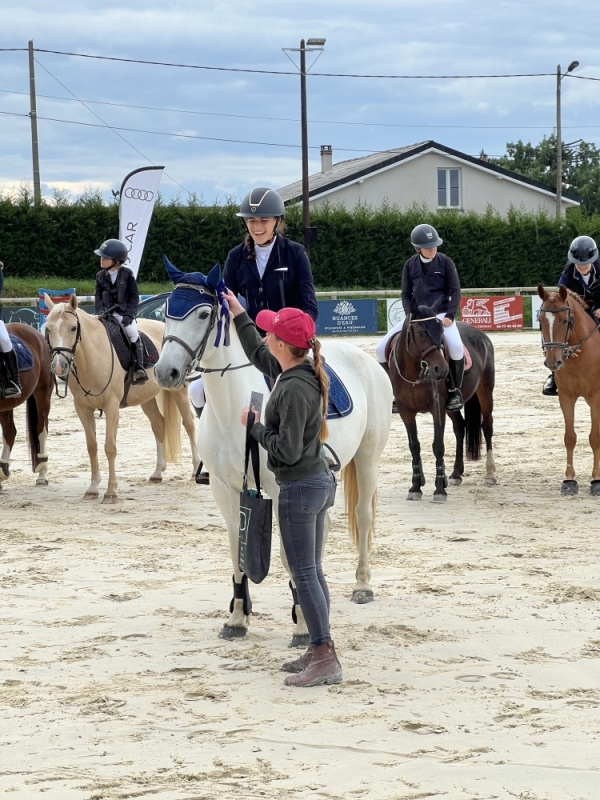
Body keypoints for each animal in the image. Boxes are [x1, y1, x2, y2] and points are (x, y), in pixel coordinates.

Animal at [45, 294, 199, 506]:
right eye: (48, 329)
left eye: (73, 328)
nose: (59, 366)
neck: (93, 355)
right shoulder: (82, 408)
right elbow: (92, 446)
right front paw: (93, 488)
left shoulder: (112, 407)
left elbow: (109, 447)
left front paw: (111, 492)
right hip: (146, 399)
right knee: (159, 424)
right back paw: (157, 472)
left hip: (179, 392)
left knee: (189, 424)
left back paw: (195, 470)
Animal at [154, 260, 394, 648]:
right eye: (165, 312)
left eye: (204, 313)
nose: (166, 372)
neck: (233, 405)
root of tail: (365, 358)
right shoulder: (224, 488)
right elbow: (236, 549)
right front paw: (237, 618)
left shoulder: (282, 489)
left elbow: (286, 553)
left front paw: (302, 625)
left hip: (368, 457)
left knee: (362, 516)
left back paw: (362, 585)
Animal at [386, 306, 494, 500]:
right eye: (421, 333)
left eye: (442, 331)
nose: (442, 369)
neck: (415, 371)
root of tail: (482, 336)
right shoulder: (406, 412)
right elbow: (414, 446)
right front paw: (416, 486)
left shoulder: (437, 410)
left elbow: (438, 446)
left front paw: (439, 489)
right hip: (451, 409)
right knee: (460, 426)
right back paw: (456, 474)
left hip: (485, 392)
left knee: (487, 426)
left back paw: (490, 474)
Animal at [536, 282, 600, 494]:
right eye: (540, 322)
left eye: (565, 321)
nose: (552, 362)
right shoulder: (565, 397)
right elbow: (569, 437)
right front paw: (569, 480)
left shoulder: (596, 399)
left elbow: (595, 437)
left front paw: (596, 480)